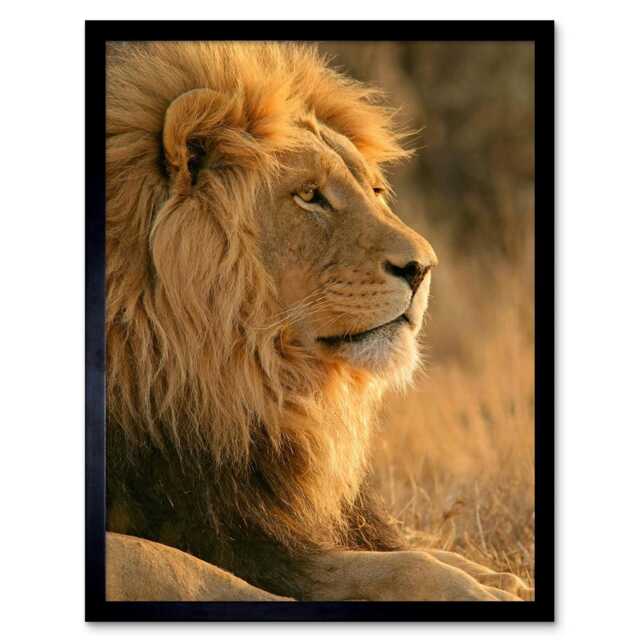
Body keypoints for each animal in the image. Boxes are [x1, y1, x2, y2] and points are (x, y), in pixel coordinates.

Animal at [105, 41, 531, 602]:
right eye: (309, 195)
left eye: (375, 190)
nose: (423, 267)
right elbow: (185, 568)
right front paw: (478, 590)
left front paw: (496, 577)